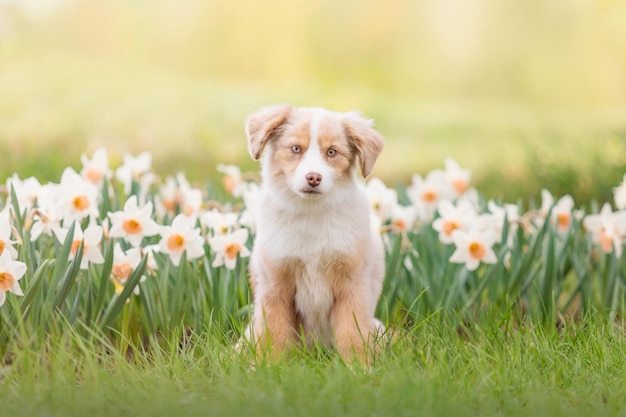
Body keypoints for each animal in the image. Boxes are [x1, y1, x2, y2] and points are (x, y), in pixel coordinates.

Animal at [244, 104, 386, 364]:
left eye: (331, 152)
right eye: (295, 148)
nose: (313, 178)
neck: (311, 214)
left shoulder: (353, 285)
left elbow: (352, 335)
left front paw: (358, 369)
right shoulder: (274, 286)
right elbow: (274, 335)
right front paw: (267, 367)